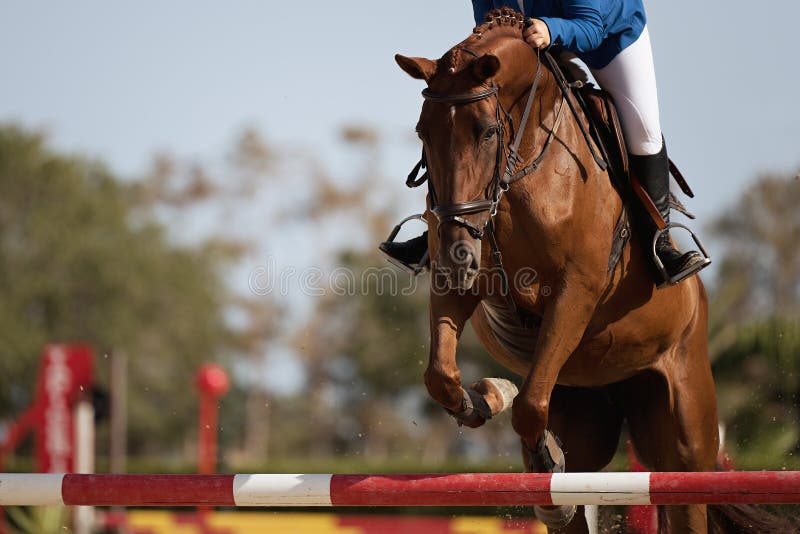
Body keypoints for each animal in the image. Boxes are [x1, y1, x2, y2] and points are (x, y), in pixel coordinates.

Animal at [396, 9, 740, 534]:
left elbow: (528, 405)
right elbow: (443, 376)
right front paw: (488, 397)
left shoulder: (574, 290)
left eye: (487, 131)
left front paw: (539, 457)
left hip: (687, 431)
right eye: (422, 132)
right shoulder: (460, 278)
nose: (457, 253)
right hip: (589, 411)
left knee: (685, 488)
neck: (520, 171)